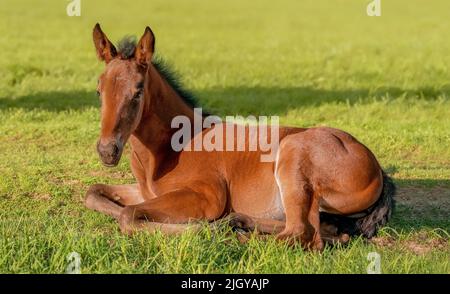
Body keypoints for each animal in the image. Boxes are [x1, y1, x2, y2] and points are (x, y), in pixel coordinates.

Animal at [84, 24, 394, 249]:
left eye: (137, 91)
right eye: (99, 90)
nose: (107, 150)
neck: (172, 148)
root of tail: (377, 168)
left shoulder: (207, 196)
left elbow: (129, 215)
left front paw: (200, 228)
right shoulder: (145, 191)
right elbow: (94, 193)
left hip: (293, 155)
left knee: (301, 235)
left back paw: (231, 231)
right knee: (318, 230)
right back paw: (239, 221)